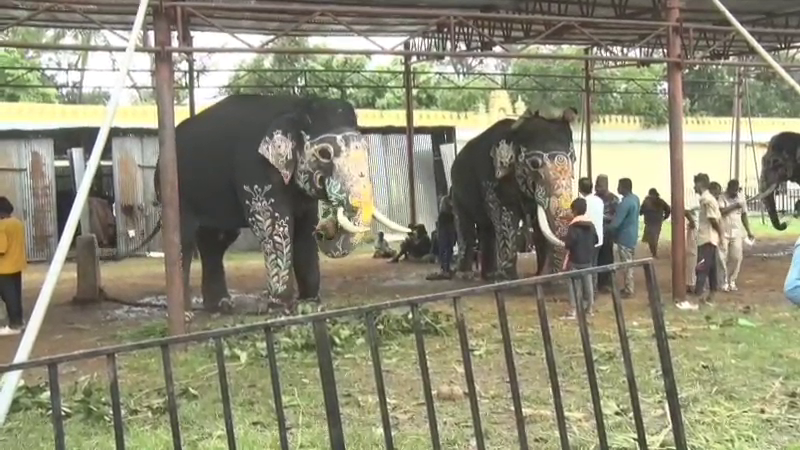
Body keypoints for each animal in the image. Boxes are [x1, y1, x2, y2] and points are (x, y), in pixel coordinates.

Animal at [138, 94, 410, 312]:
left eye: (365, 148)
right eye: (324, 154)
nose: (325, 230)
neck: (295, 105)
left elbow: (304, 228)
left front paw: (310, 304)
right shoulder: (255, 171)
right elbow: (276, 227)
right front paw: (280, 308)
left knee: (215, 242)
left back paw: (221, 306)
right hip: (175, 190)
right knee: (183, 240)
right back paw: (186, 314)